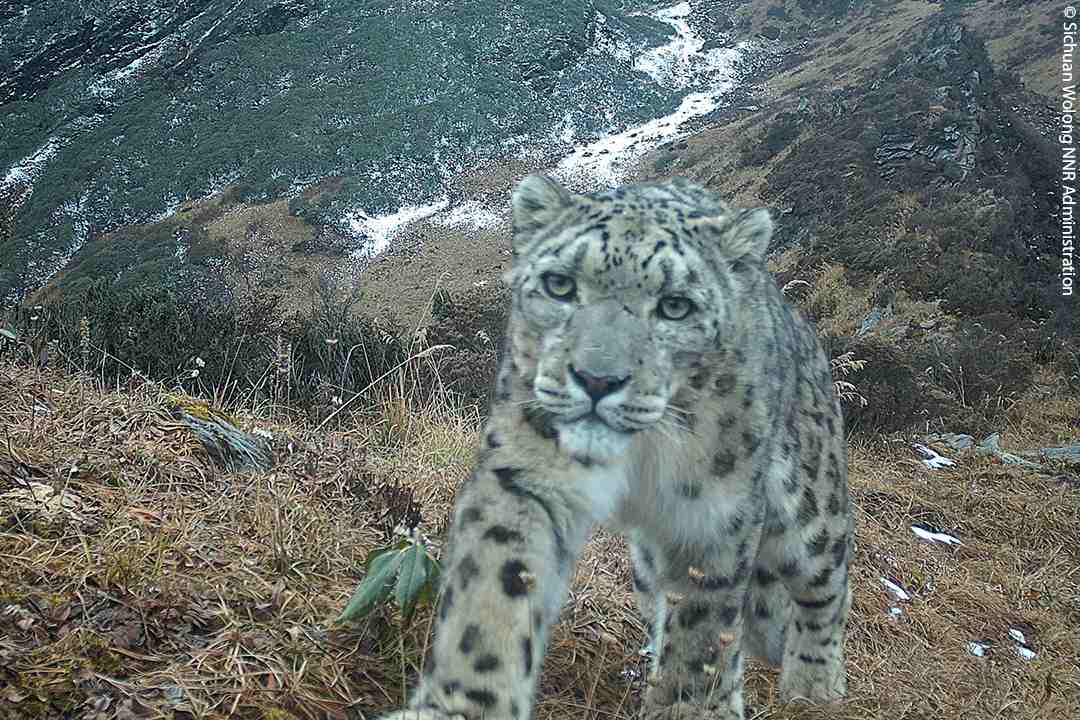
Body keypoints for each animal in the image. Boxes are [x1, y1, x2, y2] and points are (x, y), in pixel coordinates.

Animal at [378, 174, 853, 720]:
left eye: (675, 306)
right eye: (559, 284)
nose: (596, 379)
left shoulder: (714, 518)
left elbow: (703, 630)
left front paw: (685, 708)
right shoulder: (526, 473)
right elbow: (496, 585)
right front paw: (465, 703)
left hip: (812, 512)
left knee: (826, 589)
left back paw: (814, 686)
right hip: (647, 563)